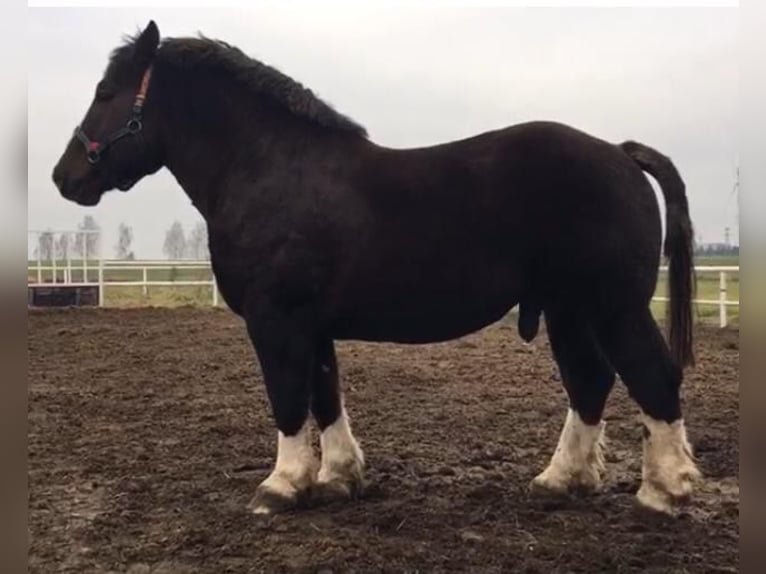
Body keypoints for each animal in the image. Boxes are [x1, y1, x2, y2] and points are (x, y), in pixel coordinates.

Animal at [52, 21, 704, 516]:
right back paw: (561, 480)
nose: (65, 177)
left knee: (652, 377)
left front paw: (280, 486)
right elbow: (325, 395)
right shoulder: (312, 326)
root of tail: (620, 154)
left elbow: (288, 399)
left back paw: (663, 491)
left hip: (613, 306)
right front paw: (338, 477)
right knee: (590, 382)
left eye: (106, 92)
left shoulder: (276, 320)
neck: (270, 167)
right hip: (570, 311)